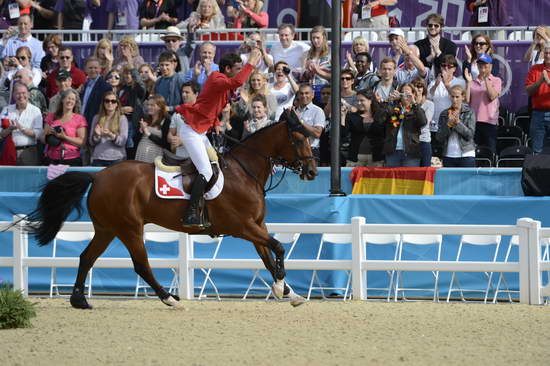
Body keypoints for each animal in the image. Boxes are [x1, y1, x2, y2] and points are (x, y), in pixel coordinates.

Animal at [24, 111, 320, 308]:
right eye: (297, 139)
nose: (313, 171)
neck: (244, 172)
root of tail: (97, 177)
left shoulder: (257, 226)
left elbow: (268, 257)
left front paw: (290, 293)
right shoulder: (242, 227)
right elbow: (278, 249)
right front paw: (281, 286)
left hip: (108, 229)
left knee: (87, 257)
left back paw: (79, 300)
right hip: (129, 228)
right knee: (140, 264)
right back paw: (170, 298)